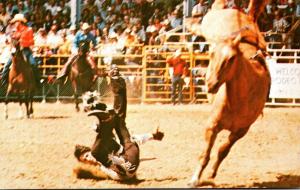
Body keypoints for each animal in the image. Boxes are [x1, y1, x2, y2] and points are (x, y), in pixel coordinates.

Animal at [186, 0, 270, 187]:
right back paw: (190, 21)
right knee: (213, 9)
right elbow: (205, 155)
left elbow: (223, 150)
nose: (210, 84)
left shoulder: (241, 131)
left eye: (231, 58)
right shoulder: (212, 126)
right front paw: (194, 179)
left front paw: (211, 174)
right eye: (211, 54)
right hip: (209, 22)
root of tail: (244, 14)